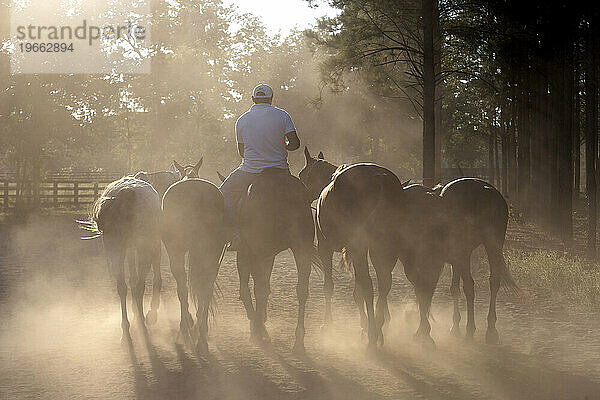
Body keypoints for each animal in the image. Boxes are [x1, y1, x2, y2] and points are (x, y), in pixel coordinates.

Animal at [77, 177, 163, 342]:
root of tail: (126, 194)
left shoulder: (128, 248)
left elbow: (132, 280)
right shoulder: (152, 245)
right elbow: (154, 278)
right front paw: (152, 312)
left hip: (116, 249)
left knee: (122, 287)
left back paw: (126, 328)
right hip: (142, 248)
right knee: (140, 286)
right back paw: (141, 323)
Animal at [159, 159, 227, 354]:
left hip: (177, 251)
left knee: (182, 287)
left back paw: (186, 327)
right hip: (212, 252)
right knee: (206, 288)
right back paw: (201, 332)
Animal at [220, 167, 322, 352]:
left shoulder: (247, 253)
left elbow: (247, 289)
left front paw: (256, 327)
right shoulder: (268, 256)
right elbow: (264, 287)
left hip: (258, 251)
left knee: (257, 288)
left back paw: (260, 330)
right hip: (301, 247)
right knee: (301, 289)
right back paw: (298, 339)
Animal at [298, 148, 406, 352]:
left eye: (301, 174)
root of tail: (380, 181)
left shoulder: (326, 248)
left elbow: (329, 286)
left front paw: (328, 324)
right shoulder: (355, 252)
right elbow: (357, 292)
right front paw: (363, 325)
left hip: (362, 248)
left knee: (370, 285)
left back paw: (373, 334)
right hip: (383, 248)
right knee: (384, 283)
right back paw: (378, 326)